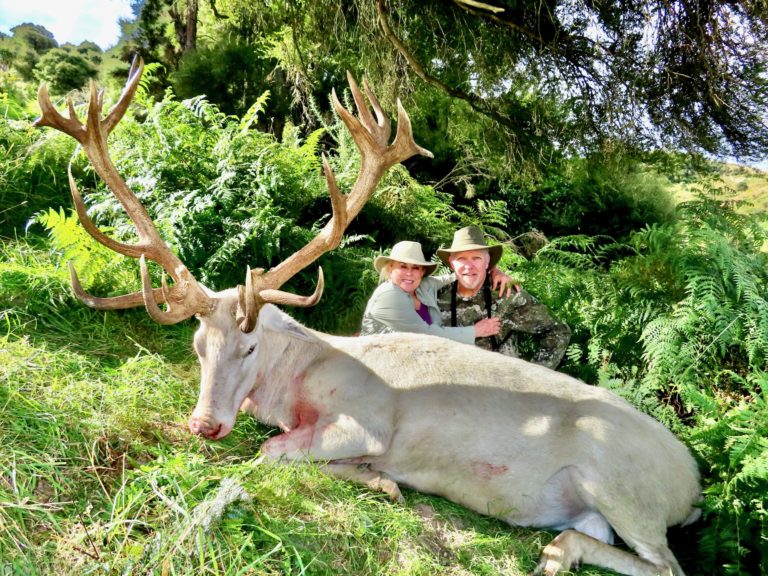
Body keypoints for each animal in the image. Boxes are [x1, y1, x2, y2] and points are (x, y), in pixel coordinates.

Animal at [34, 59, 701, 576]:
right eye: (198, 345)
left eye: (250, 347)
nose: (205, 425)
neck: (302, 380)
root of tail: (693, 483)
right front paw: (376, 478)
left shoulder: (368, 422)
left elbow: (271, 452)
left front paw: (377, 477)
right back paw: (559, 549)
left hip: (623, 485)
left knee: (668, 563)